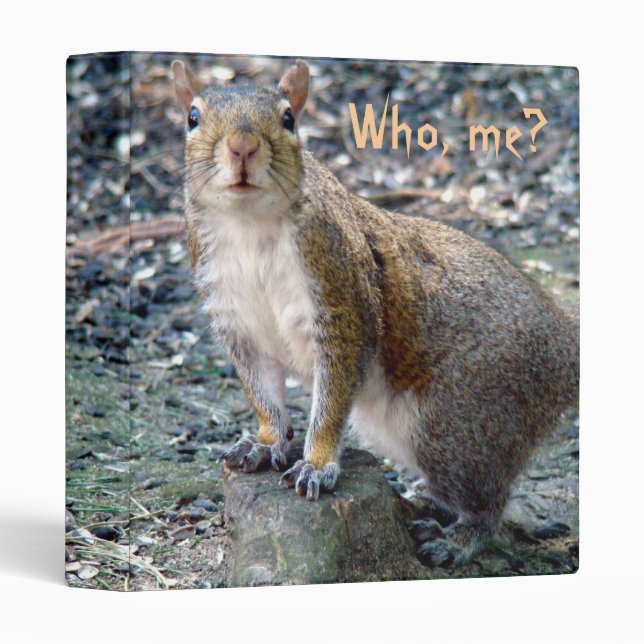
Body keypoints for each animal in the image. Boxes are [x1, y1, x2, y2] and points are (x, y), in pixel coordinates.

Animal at [171, 59, 579, 566]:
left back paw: (456, 540)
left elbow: (331, 398)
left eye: (288, 119)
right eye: (192, 117)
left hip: (460, 424)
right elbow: (262, 390)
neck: (250, 227)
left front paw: (317, 464)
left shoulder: (343, 302)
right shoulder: (237, 319)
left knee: (487, 500)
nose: (242, 146)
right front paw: (265, 443)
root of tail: (564, 344)